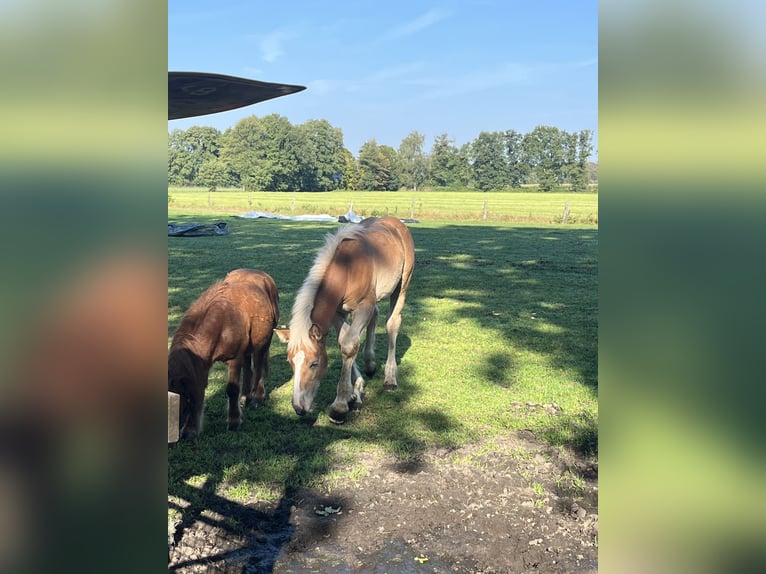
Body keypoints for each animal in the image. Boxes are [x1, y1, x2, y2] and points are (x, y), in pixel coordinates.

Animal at [168, 268, 280, 438]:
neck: (223, 321)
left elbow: (232, 390)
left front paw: (234, 422)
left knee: (259, 367)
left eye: (178, 399)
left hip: (263, 344)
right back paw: (245, 397)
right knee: (249, 369)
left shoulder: (234, 359)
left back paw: (257, 398)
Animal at [276, 216, 416, 424]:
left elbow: (349, 346)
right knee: (375, 317)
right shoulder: (338, 313)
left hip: (402, 285)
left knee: (392, 323)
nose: (299, 408)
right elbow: (345, 342)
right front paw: (355, 394)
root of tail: (396, 222)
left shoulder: (363, 307)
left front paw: (339, 407)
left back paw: (390, 379)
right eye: (289, 362)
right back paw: (370, 363)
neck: (347, 269)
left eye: (314, 363)